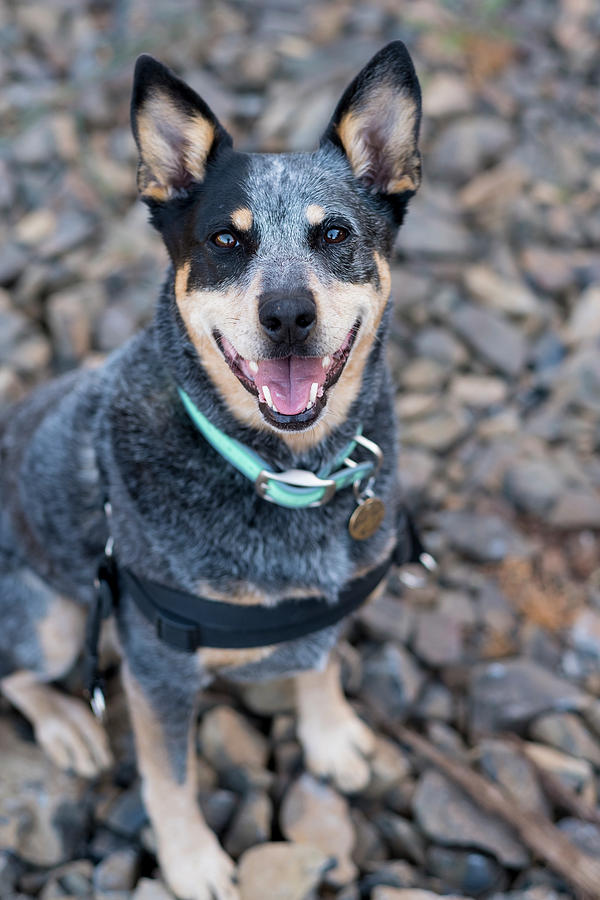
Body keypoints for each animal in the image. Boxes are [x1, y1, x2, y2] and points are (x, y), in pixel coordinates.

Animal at [0, 42, 422, 900]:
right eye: (227, 242)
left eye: (335, 234)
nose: (288, 315)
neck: (287, 474)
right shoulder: (159, 666)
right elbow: (170, 777)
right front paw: (192, 860)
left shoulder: (326, 603)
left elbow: (323, 664)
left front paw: (332, 736)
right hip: (55, 620)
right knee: (17, 671)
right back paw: (66, 727)